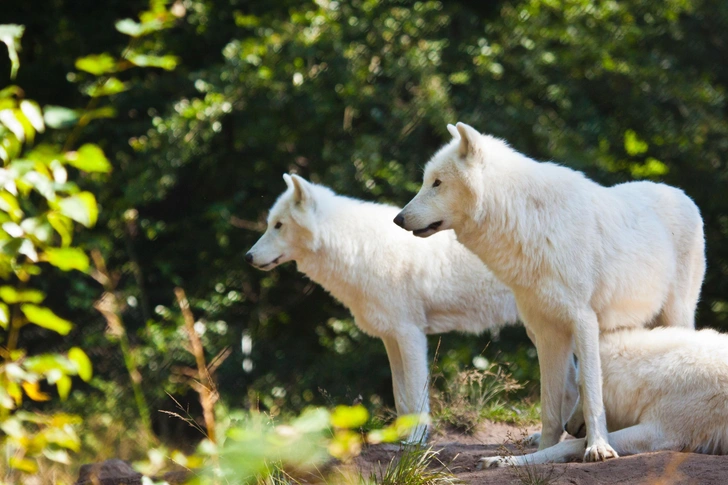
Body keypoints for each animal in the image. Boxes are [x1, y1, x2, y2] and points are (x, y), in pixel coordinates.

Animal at [247, 173, 528, 442]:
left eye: (279, 225)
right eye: (270, 224)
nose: (247, 257)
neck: (357, 249)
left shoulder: (411, 334)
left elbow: (415, 396)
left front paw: (415, 442)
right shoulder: (390, 337)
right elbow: (400, 396)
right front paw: (399, 436)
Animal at [392, 123, 704, 460]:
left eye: (437, 183)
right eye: (426, 181)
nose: (398, 218)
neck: (528, 221)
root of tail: (682, 194)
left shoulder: (582, 319)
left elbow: (591, 391)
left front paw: (598, 447)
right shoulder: (546, 330)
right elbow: (551, 406)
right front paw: (542, 452)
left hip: (675, 315)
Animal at [480, 324, 728, 466]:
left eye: (581, 389)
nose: (567, 426)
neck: (658, 376)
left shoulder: (662, 434)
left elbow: (566, 446)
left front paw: (502, 461)